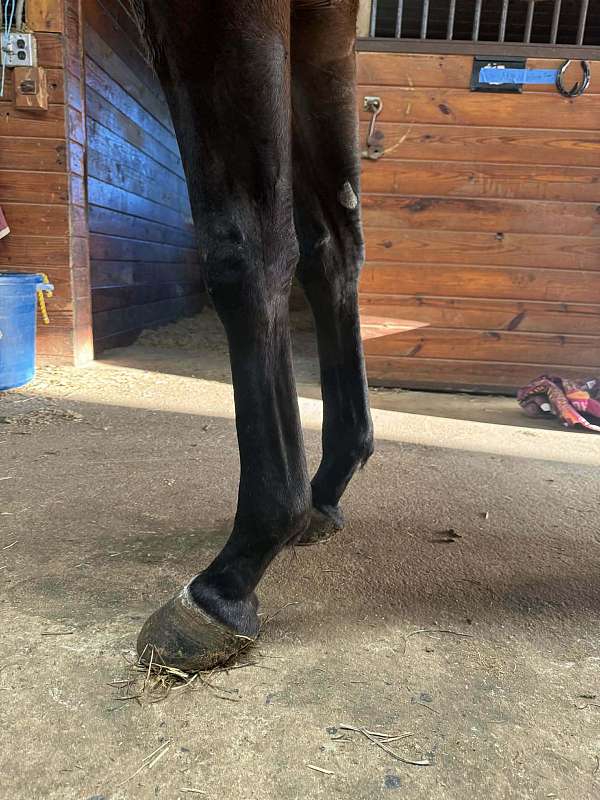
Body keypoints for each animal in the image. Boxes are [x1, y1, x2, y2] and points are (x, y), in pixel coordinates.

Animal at [132, 0, 374, 670]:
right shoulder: (324, 27)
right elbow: (330, 246)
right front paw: (317, 499)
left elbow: (245, 247)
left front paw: (230, 579)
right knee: (335, 246)